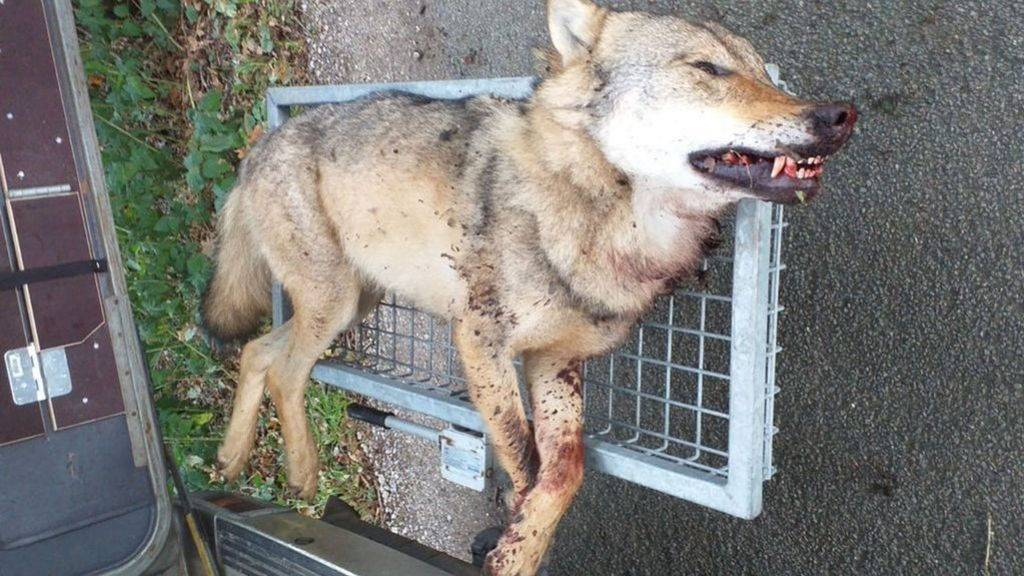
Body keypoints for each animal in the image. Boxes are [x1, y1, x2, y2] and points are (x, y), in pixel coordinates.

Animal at [201, 0, 857, 573]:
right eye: (708, 69)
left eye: (759, 69)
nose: (839, 115)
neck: (605, 215)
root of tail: (256, 149)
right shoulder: (481, 341)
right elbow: (522, 455)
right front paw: (513, 535)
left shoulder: (553, 360)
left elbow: (564, 470)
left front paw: (525, 544)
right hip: (337, 304)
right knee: (286, 370)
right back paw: (302, 473)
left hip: (355, 303)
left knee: (258, 351)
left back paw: (231, 459)